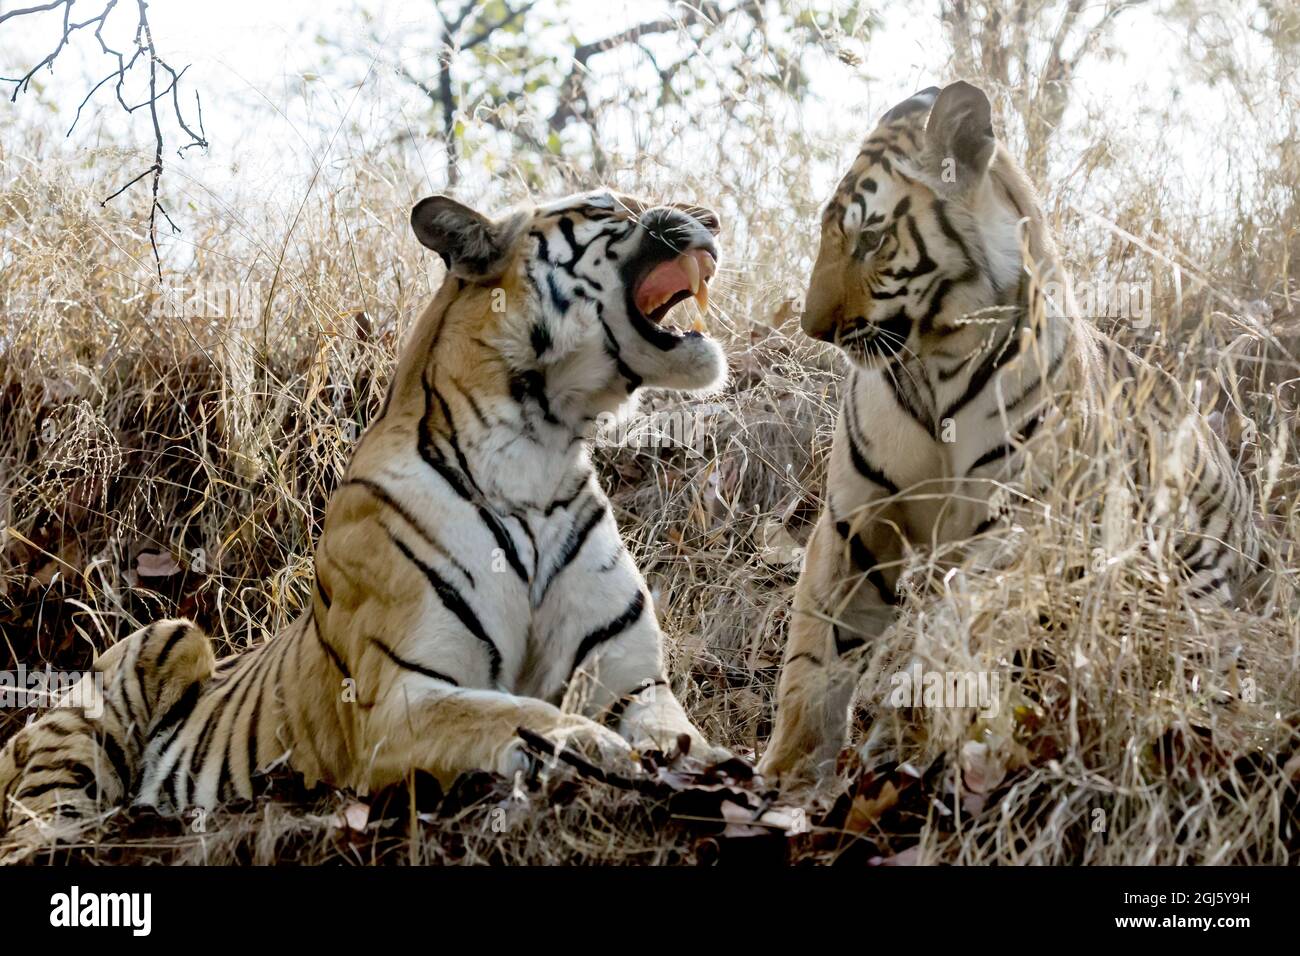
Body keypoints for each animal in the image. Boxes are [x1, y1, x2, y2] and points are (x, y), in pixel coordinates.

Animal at [0, 187, 733, 832]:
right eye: (609, 207)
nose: (713, 218)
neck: (539, 454)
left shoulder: (633, 682)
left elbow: (678, 732)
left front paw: (713, 767)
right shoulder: (398, 700)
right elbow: (513, 714)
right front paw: (596, 747)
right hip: (162, 641)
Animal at [759, 80, 1258, 785]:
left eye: (872, 240)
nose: (813, 329)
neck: (934, 361)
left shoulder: (1016, 523)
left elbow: (952, 630)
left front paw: (904, 738)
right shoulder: (855, 520)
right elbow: (815, 655)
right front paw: (791, 772)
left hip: (1189, 585)